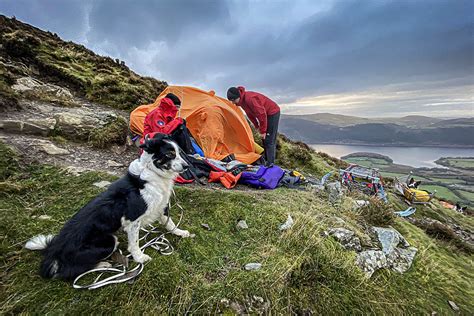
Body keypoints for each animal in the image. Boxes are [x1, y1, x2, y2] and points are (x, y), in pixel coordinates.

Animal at [25, 135, 192, 280]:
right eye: (170, 154)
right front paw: (139, 258)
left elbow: (169, 222)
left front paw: (180, 232)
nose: (187, 166)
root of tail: (54, 250)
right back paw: (102, 264)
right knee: (69, 272)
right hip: (109, 241)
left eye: (179, 153)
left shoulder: (160, 205)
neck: (153, 172)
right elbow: (134, 243)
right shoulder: (133, 219)